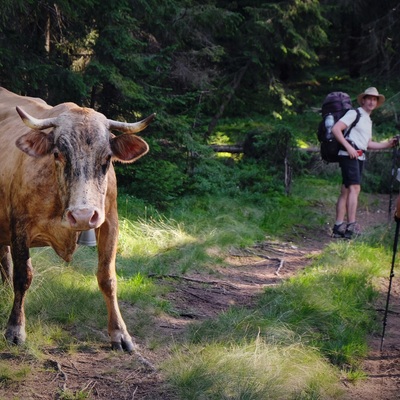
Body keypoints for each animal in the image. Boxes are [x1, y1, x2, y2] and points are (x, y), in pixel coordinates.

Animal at [0, 86, 155, 350]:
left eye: (107, 158)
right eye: (57, 154)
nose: (83, 215)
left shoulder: (110, 222)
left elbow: (107, 277)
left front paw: (119, 333)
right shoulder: (19, 225)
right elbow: (23, 276)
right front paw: (15, 328)